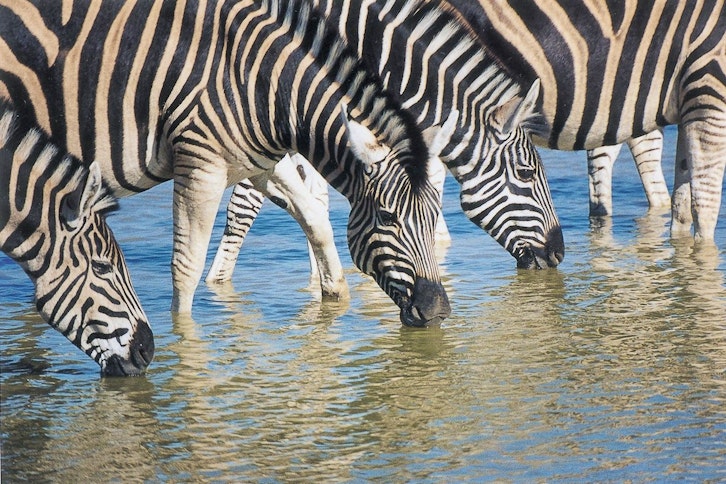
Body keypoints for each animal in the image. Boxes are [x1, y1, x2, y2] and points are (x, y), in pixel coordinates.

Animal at [0, 0, 462, 326]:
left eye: (435, 214)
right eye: (387, 218)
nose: (437, 310)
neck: (263, 85)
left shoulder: (257, 162)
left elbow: (315, 219)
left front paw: (334, 299)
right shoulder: (199, 165)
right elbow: (185, 269)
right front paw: (185, 343)